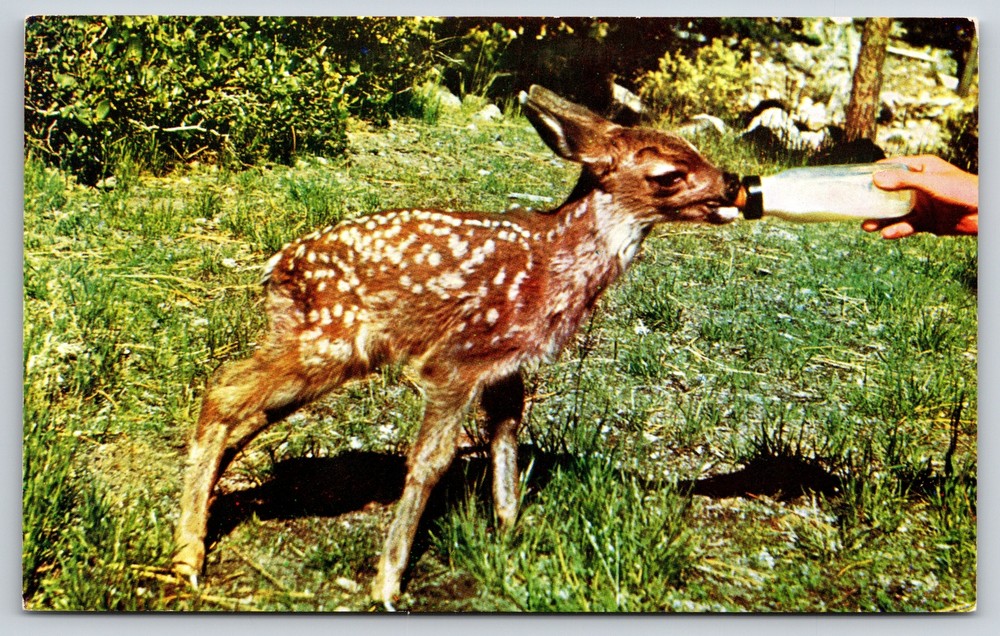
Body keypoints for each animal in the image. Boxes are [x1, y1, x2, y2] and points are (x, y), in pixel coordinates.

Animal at [173, 85, 741, 609]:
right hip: (327, 339)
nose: (734, 185)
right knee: (223, 390)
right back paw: (186, 558)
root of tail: (276, 268)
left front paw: (511, 530)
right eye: (669, 173)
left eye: (696, 149)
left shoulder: (506, 364)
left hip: (319, 347)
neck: (552, 267)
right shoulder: (457, 358)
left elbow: (506, 436)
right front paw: (388, 582)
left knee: (245, 411)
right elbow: (431, 459)